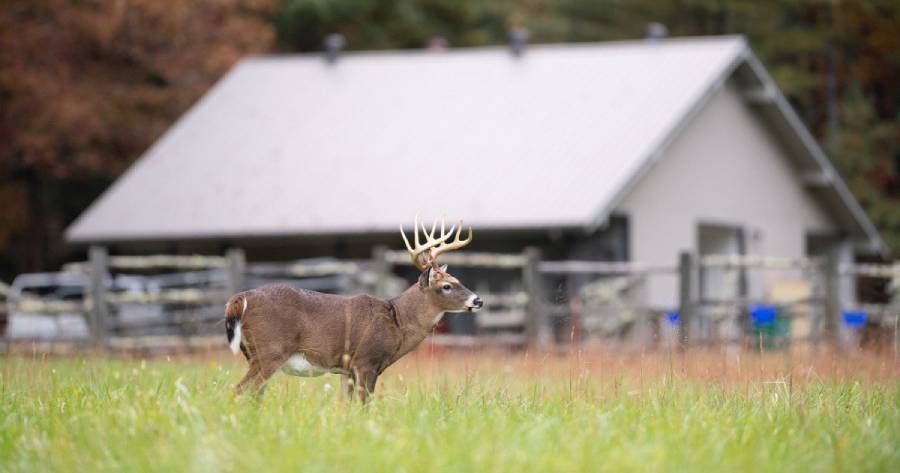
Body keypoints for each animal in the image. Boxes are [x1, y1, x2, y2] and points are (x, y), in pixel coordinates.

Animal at [224, 217, 483, 402]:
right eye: (446, 286)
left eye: (457, 279)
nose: (478, 300)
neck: (398, 321)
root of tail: (240, 298)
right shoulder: (366, 360)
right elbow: (364, 405)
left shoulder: (346, 369)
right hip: (269, 351)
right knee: (238, 390)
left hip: (253, 354)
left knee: (253, 395)